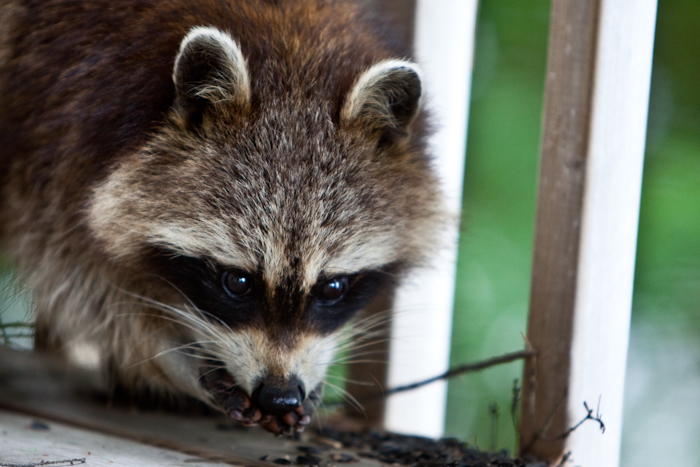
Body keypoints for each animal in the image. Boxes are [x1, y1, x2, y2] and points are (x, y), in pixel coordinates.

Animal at [0, 0, 442, 433]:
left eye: (332, 288)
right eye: (238, 282)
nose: (280, 395)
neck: (293, 49)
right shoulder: (54, 129)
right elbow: (81, 281)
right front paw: (169, 355)